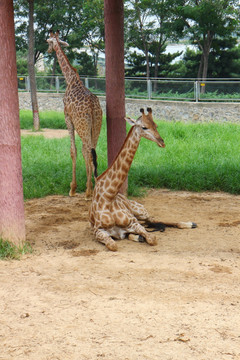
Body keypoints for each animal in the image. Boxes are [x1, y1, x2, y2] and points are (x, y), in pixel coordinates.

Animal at [47, 30, 102, 200]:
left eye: (48, 41)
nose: (48, 51)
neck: (70, 79)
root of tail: (92, 107)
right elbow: (82, 152)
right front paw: (84, 185)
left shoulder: (67, 118)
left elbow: (73, 151)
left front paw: (73, 188)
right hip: (96, 127)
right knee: (92, 151)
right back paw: (95, 187)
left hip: (83, 126)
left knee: (89, 152)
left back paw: (90, 191)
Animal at [89, 108, 196, 252]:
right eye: (144, 127)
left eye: (156, 125)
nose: (162, 142)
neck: (109, 196)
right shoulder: (97, 230)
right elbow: (113, 245)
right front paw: (137, 237)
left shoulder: (133, 222)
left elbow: (152, 238)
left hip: (140, 211)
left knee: (154, 219)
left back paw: (190, 224)